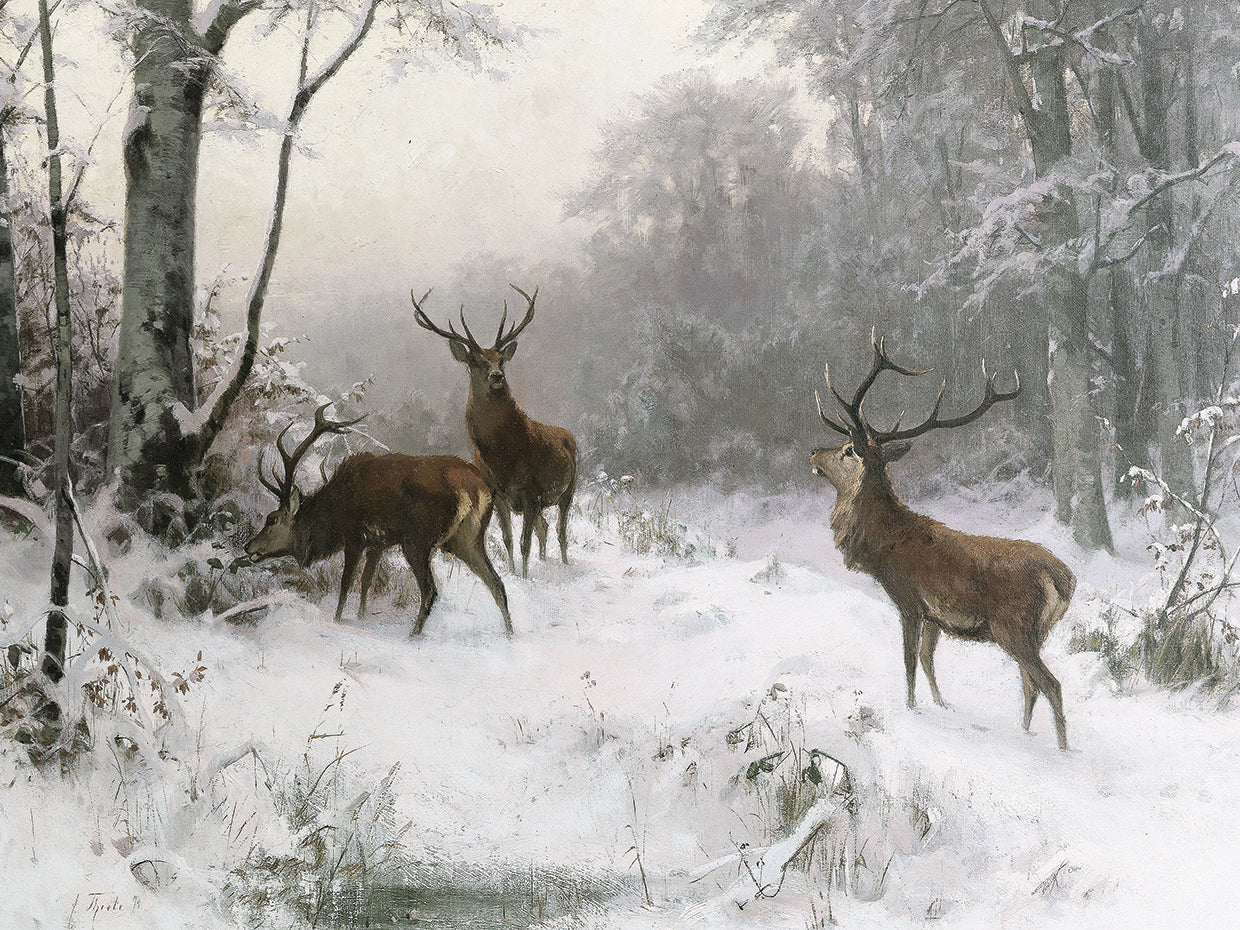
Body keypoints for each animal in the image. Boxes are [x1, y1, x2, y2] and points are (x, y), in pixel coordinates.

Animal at [245, 403, 513, 635]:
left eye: (272, 519)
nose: (248, 546)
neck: (332, 513)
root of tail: (476, 487)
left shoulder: (354, 536)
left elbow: (346, 583)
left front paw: (338, 619)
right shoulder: (378, 543)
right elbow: (366, 582)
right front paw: (361, 617)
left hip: (418, 539)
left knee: (430, 591)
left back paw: (413, 635)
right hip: (467, 539)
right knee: (497, 584)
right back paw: (510, 634)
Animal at [412, 284, 578, 578]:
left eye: (501, 360)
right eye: (474, 361)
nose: (497, 376)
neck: (504, 454)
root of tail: (569, 436)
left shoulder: (531, 492)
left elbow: (524, 543)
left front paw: (525, 576)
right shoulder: (498, 492)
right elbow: (509, 539)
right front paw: (513, 573)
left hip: (569, 488)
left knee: (560, 531)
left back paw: (565, 564)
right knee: (545, 528)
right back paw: (546, 562)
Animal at [810, 332, 1076, 750]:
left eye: (847, 450)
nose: (813, 453)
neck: (883, 545)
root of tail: (1063, 579)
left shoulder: (908, 599)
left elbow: (908, 661)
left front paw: (910, 708)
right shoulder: (935, 615)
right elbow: (927, 659)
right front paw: (940, 704)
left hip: (1014, 626)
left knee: (1050, 684)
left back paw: (1063, 751)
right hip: (1035, 633)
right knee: (1030, 683)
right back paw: (1025, 732)